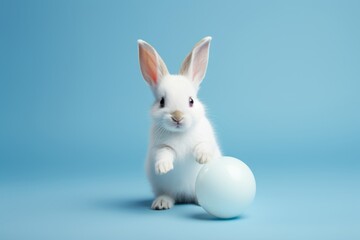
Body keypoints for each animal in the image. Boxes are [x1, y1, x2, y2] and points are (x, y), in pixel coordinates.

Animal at [138, 36, 222, 210]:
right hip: (162, 187)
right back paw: (161, 203)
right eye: (162, 102)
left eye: (191, 101)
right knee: (169, 195)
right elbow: (164, 154)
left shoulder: (205, 140)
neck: (180, 133)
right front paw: (163, 167)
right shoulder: (160, 147)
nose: (177, 116)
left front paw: (202, 158)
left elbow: (203, 146)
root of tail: (186, 196)